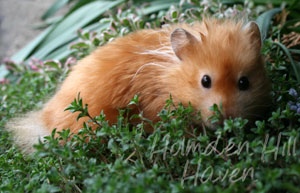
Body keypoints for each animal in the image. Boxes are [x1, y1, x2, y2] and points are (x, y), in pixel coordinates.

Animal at [5, 18, 270, 153]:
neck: (170, 81)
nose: (228, 120)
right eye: (205, 81)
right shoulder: (159, 111)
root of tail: (45, 122)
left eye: (244, 82)